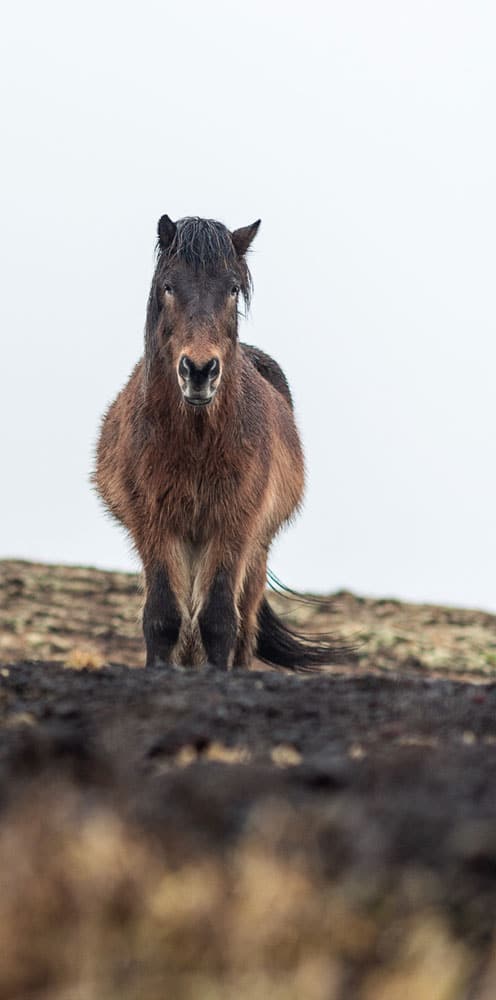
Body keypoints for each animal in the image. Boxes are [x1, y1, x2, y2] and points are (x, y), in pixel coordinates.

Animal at [94, 215, 345, 670]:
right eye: (169, 285)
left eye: (231, 289)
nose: (199, 371)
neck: (195, 443)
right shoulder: (154, 524)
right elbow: (163, 618)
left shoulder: (234, 524)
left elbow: (218, 621)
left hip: (255, 553)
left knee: (242, 628)